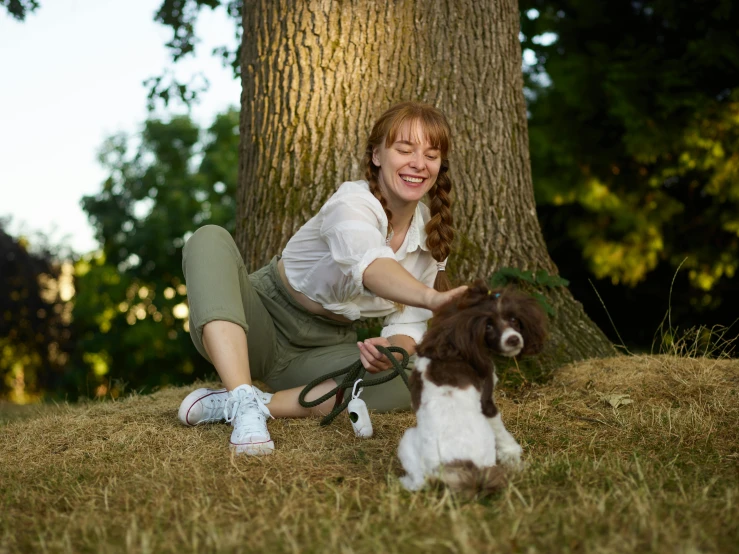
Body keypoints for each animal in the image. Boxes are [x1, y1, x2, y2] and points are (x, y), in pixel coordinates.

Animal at [398, 280, 548, 492]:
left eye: (513, 319)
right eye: (489, 326)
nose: (513, 339)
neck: (453, 348)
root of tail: (463, 469)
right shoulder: (487, 400)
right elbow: (504, 436)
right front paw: (517, 462)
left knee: (420, 480)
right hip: (409, 437)